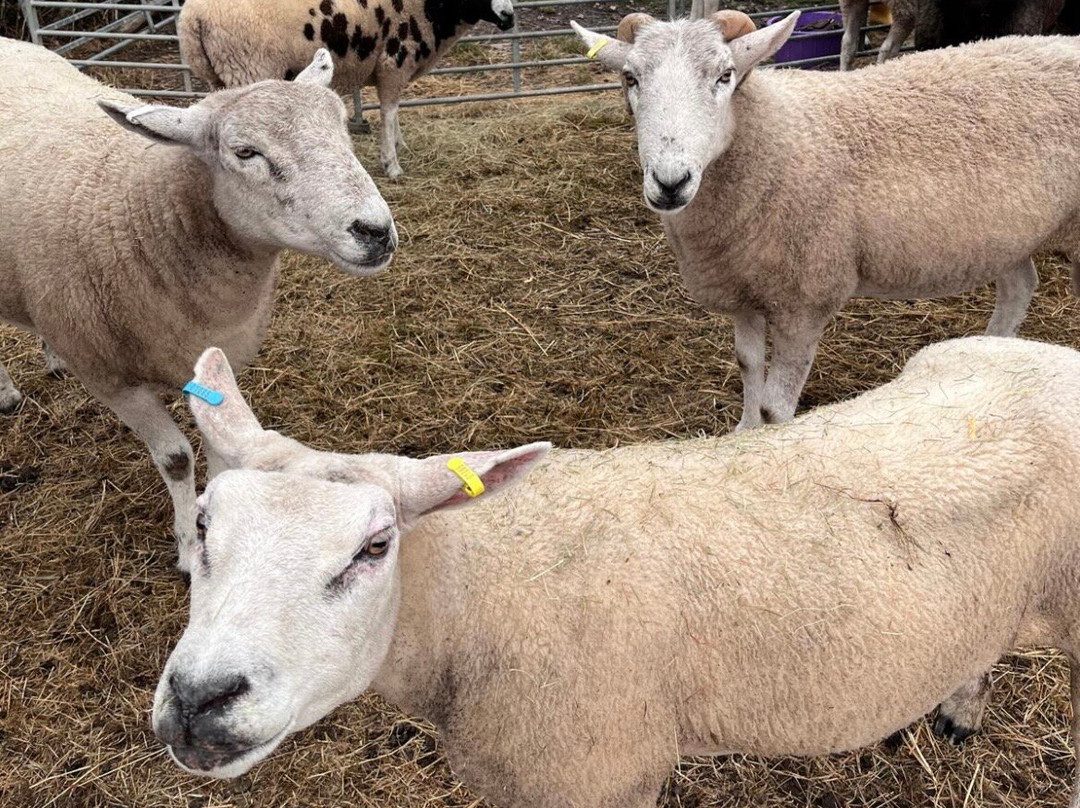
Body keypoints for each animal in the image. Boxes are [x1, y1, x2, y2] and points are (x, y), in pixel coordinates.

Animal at [0, 39, 397, 572]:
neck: (142, 220)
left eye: (341, 128)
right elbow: (176, 458)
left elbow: (219, 445)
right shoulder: (111, 380)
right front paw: (189, 543)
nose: (376, 231)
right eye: (245, 152)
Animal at [151, 336, 1080, 806]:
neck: (468, 597)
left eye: (374, 548)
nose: (199, 700)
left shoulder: (598, 773)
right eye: (202, 526)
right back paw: (958, 711)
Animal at [177, 0, 516, 179]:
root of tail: (192, 18)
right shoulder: (394, 59)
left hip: (221, 74)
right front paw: (392, 164)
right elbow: (388, 111)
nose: (509, 17)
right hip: (249, 66)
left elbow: (394, 113)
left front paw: (400, 145)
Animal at [570, 13, 1080, 431]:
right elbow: (746, 366)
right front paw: (741, 433)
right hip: (1005, 233)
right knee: (1019, 286)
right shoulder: (742, 289)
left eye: (724, 75)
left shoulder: (805, 299)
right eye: (630, 78)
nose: (670, 182)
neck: (773, 137)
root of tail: (1065, 41)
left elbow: (775, 407)